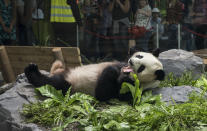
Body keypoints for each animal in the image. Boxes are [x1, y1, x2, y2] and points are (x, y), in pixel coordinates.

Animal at [23, 48, 165, 101]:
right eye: (140, 56)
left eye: (141, 68)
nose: (130, 61)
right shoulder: (120, 63)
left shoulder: (136, 89)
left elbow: (104, 93)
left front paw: (115, 72)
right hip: (68, 72)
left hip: (71, 86)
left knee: (53, 84)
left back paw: (32, 72)